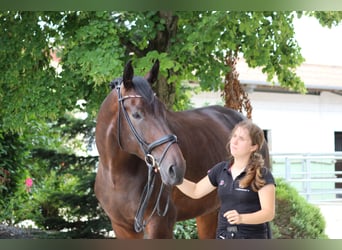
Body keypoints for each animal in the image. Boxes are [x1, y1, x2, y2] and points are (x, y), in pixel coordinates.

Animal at [94, 60, 270, 238]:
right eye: (136, 114)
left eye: (164, 112)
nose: (176, 168)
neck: (117, 174)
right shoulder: (121, 227)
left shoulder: (160, 225)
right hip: (210, 212)